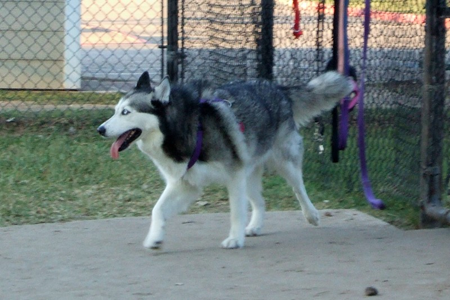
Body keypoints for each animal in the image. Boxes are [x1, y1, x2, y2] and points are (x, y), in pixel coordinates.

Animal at [96, 71, 354, 250]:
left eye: (126, 112)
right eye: (115, 110)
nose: (100, 129)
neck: (187, 128)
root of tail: (277, 88)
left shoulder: (234, 176)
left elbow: (236, 212)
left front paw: (234, 239)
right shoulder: (185, 184)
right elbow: (157, 209)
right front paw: (155, 238)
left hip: (283, 163)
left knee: (299, 189)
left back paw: (311, 214)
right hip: (249, 173)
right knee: (260, 202)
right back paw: (255, 226)